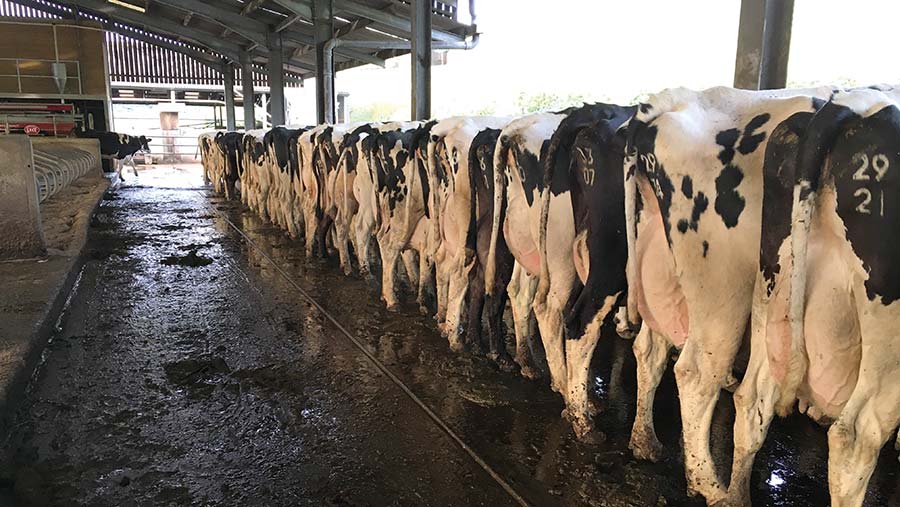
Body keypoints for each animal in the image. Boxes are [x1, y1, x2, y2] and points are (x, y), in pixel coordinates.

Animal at [624, 85, 832, 502]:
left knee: (649, 349)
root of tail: (668, 103)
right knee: (696, 373)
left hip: (662, 268)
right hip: (724, 286)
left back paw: (646, 440)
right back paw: (709, 484)